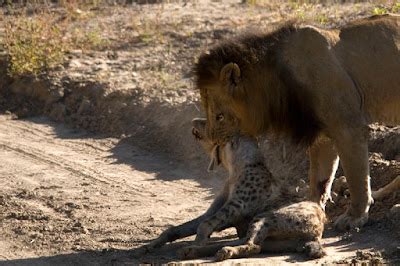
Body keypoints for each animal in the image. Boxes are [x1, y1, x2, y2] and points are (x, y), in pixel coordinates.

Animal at [195, 15, 400, 231]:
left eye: (219, 116)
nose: (213, 138)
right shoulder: (323, 134)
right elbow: (319, 178)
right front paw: (308, 209)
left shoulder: (348, 127)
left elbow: (356, 177)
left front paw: (354, 217)